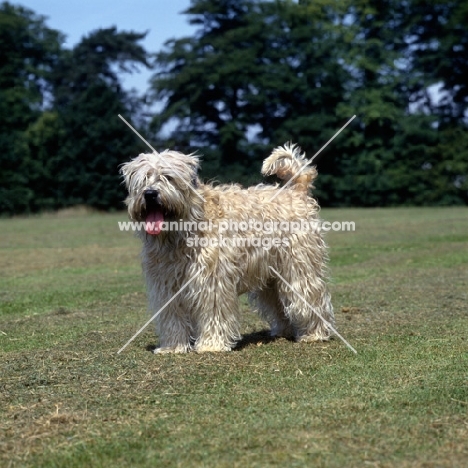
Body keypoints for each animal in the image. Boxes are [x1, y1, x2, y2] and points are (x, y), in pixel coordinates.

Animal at [119, 144, 332, 352]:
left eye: (168, 177)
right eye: (143, 179)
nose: (150, 194)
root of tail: (296, 190)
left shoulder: (211, 279)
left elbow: (212, 311)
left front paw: (211, 345)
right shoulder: (166, 283)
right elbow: (172, 317)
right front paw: (173, 346)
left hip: (299, 267)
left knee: (310, 298)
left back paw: (314, 333)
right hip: (271, 276)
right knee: (278, 303)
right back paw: (283, 331)